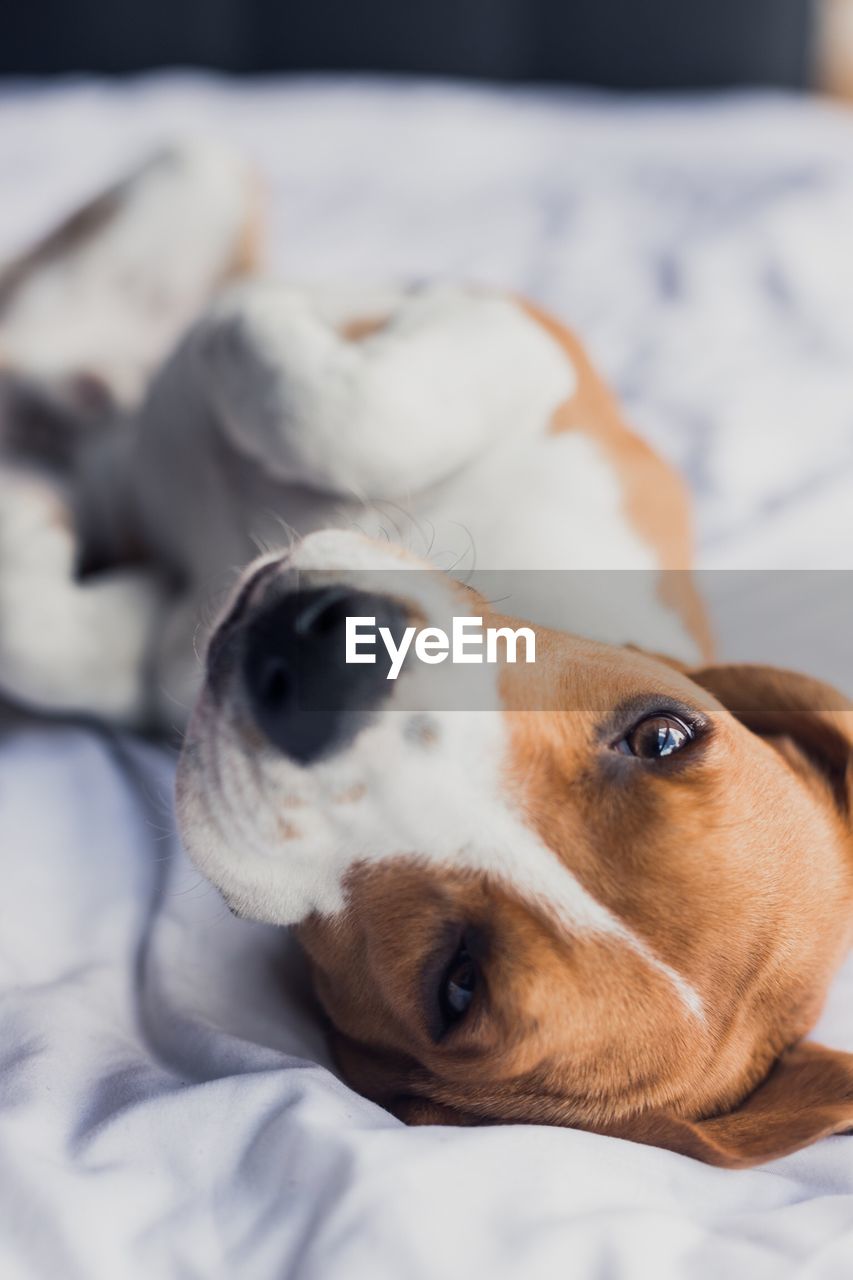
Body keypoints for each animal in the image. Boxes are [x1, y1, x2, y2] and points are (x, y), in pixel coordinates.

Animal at [1, 145, 850, 1167]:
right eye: (662, 735)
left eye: (455, 987)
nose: (322, 668)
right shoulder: (533, 351)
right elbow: (350, 409)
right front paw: (257, 326)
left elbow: (44, 635)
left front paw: (34, 527)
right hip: (193, 183)